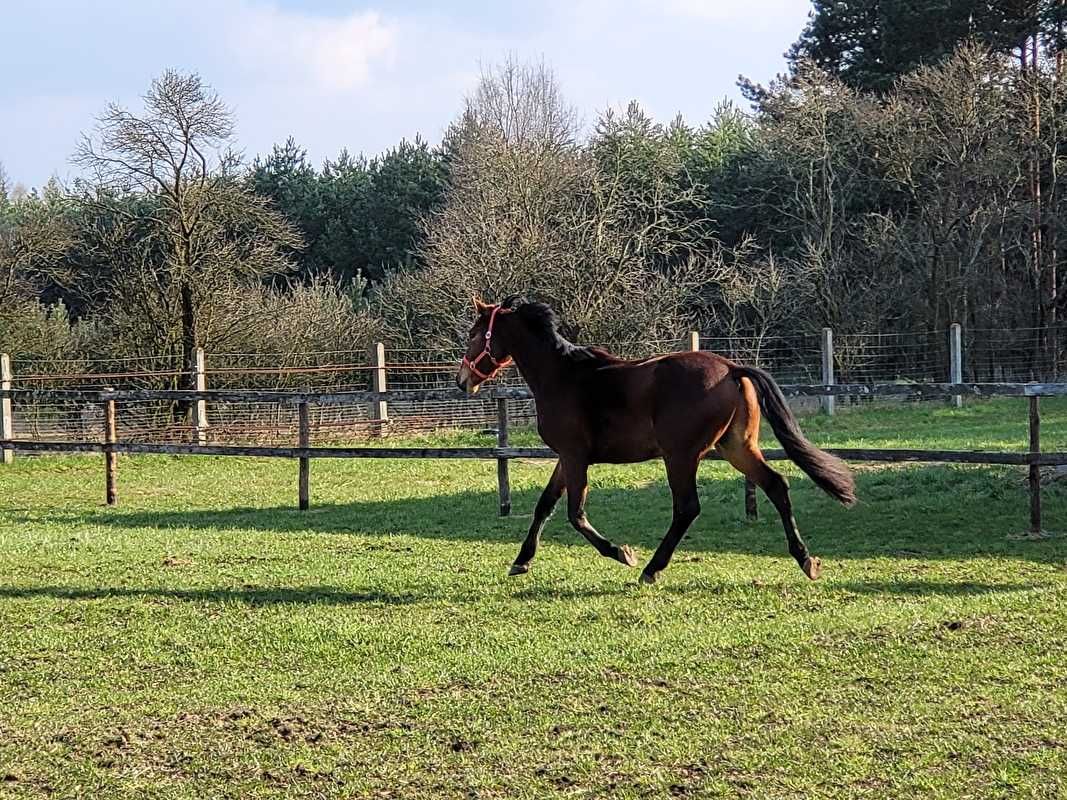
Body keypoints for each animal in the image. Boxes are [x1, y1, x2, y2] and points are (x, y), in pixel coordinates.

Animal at [454, 298, 853, 584]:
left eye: (474, 334)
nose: (462, 381)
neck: (563, 376)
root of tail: (730, 369)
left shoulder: (574, 456)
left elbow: (574, 513)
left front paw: (621, 553)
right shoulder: (565, 459)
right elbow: (544, 506)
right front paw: (521, 562)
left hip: (681, 456)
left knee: (687, 508)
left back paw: (651, 568)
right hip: (737, 448)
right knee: (776, 486)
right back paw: (807, 560)